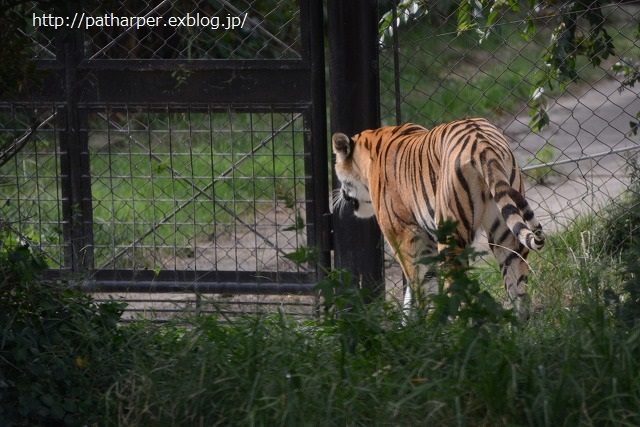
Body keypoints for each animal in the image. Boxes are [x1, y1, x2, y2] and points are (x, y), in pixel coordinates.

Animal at [332, 117, 548, 320]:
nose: (340, 193)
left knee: (461, 294)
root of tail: (481, 143)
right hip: (505, 233)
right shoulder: (425, 240)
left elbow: (420, 288)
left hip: (451, 238)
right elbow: (418, 291)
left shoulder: (404, 237)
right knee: (519, 294)